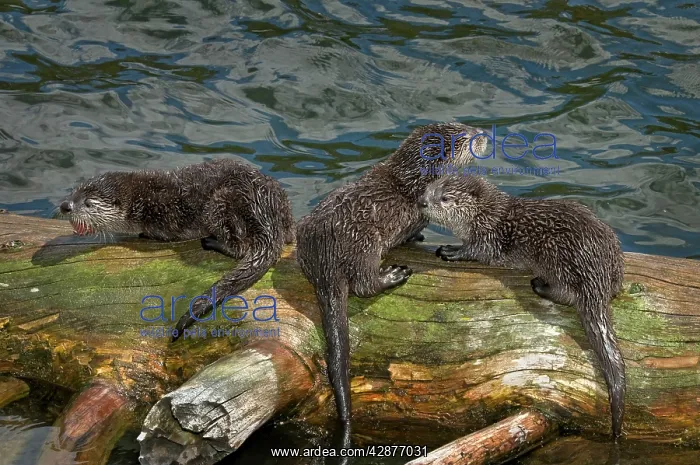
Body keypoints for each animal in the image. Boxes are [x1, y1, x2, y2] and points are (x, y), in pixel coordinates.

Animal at [59, 159, 295, 340]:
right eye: (75, 192)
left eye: (88, 203)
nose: (65, 206)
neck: (140, 200)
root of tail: (265, 209)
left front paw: (143, 234)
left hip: (218, 205)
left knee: (240, 247)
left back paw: (211, 242)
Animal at [296, 123, 488, 435]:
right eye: (467, 138)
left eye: (466, 126)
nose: (485, 133)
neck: (415, 180)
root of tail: (323, 257)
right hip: (366, 244)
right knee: (363, 285)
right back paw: (394, 274)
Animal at [418, 175, 626, 438]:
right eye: (427, 190)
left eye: (444, 199)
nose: (422, 202)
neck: (487, 215)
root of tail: (597, 273)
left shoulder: (488, 238)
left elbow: (475, 251)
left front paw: (449, 250)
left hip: (555, 254)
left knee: (567, 294)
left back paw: (539, 285)